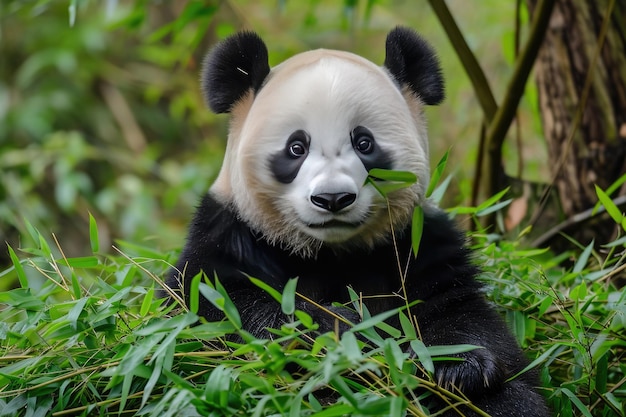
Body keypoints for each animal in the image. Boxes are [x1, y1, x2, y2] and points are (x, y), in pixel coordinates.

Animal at [165, 27, 544, 414]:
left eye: (364, 143)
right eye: (296, 148)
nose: (333, 199)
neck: (329, 252)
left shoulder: (415, 242)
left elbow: (459, 311)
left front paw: (458, 367)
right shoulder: (231, 233)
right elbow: (219, 310)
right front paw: (343, 329)